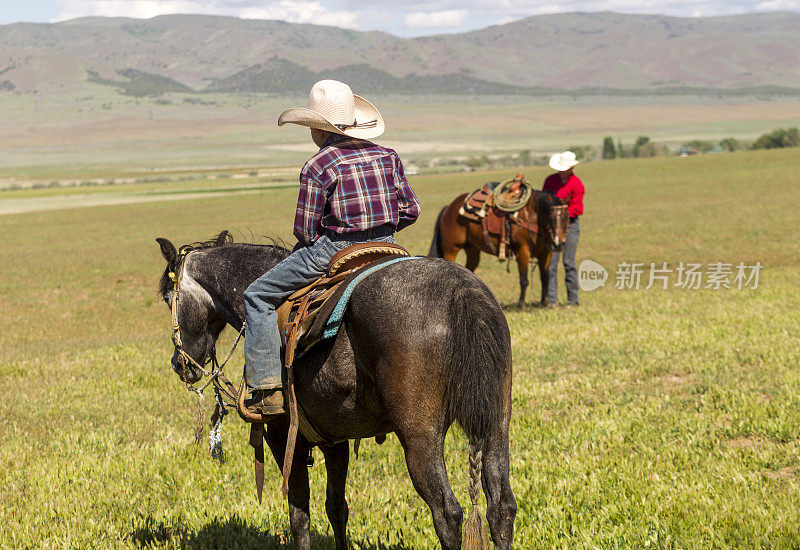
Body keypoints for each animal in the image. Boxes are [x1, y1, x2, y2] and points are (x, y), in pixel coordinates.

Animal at [158, 233, 520, 550]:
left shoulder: (283, 437)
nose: (179, 363)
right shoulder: (335, 440)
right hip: (496, 425)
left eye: (166, 297)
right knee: (501, 507)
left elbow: (299, 515)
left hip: (420, 437)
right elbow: (337, 508)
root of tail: (461, 290)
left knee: (447, 513)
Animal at [432, 190, 568, 308]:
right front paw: (521, 304)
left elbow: (545, 278)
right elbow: (524, 280)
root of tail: (448, 208)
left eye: (566, 218)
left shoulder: (545, 253)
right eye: (551, 217)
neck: (531, 217)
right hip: (451, 249)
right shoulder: (523, 251)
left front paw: (545, 303)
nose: (559, 244)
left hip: (472, 251)